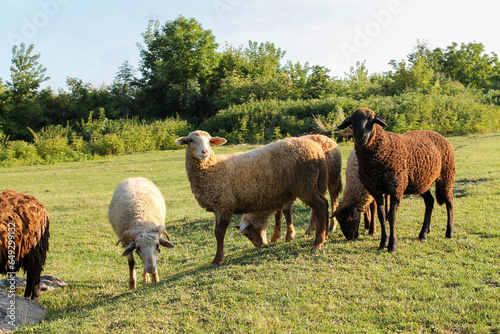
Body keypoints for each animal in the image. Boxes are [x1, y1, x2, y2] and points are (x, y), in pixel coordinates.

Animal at [174, 130, 330, 264]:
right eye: (191, 140)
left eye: (209, 141)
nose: (205, 152)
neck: (212, 167)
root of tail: (315, 148)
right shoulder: (217, 207)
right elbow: (216, 232)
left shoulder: (225, 204)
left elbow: (220, 232)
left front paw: (217, 259)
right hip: (313, 183)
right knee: (325, 203)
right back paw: (325, 235)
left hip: (304, 184)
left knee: (320, 206)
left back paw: (318, 243)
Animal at [338, 108, 456, 252]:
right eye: (352, 122)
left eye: (372, 120)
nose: (362, 137)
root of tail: (439, 135)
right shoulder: (375, 191)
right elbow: (382, 216)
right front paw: (383, 242)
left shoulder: (396, 189)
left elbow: (392, 216)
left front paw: (392, 245)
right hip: (421, 182)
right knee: (429, 201)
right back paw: (423, 234)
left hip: (446, 175)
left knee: (449, 201)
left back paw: (449, 232)